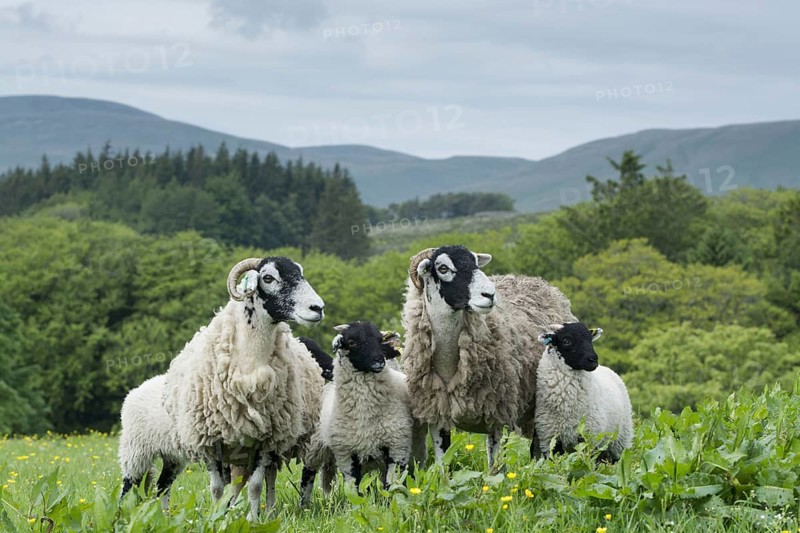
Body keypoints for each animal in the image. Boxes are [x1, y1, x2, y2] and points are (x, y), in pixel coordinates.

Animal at [160, 256, 326, 520]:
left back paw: (268, 512)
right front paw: (217, 518)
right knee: (235, 483)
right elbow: (217, 488)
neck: (250, 365)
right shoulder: (211, 441)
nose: (317, 308)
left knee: (267, 478)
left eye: (300, 273)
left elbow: (256, 486)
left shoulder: (267, 441)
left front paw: (254, 520)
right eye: (268, 278)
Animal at [402, 245, 577, 470]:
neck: (449, 366)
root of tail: (535, 281)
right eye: (443, 268)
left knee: (540, 448)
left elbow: (496, 468)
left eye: (476, 263)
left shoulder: (497, 414)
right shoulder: (437, 415)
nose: (490, 295)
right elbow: (442, 466)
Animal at [535, 323, 633, 462]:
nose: (593, 360)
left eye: (590, 340)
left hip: (619, 441)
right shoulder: (550, 439)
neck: (567, 407)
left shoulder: (590, 438)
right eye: (566, 341)